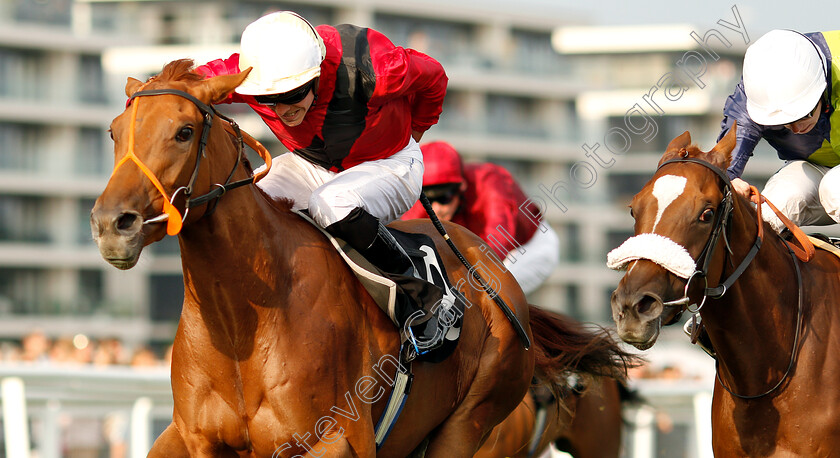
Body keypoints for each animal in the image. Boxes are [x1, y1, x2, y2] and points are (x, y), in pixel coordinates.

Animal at [92, 59, 632, 456]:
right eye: (115, 131)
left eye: (184, 131)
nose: (111, 224)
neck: (243, 322)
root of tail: (498, 280)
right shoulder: (192, 438)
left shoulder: (331, 441)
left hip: (476, 421)